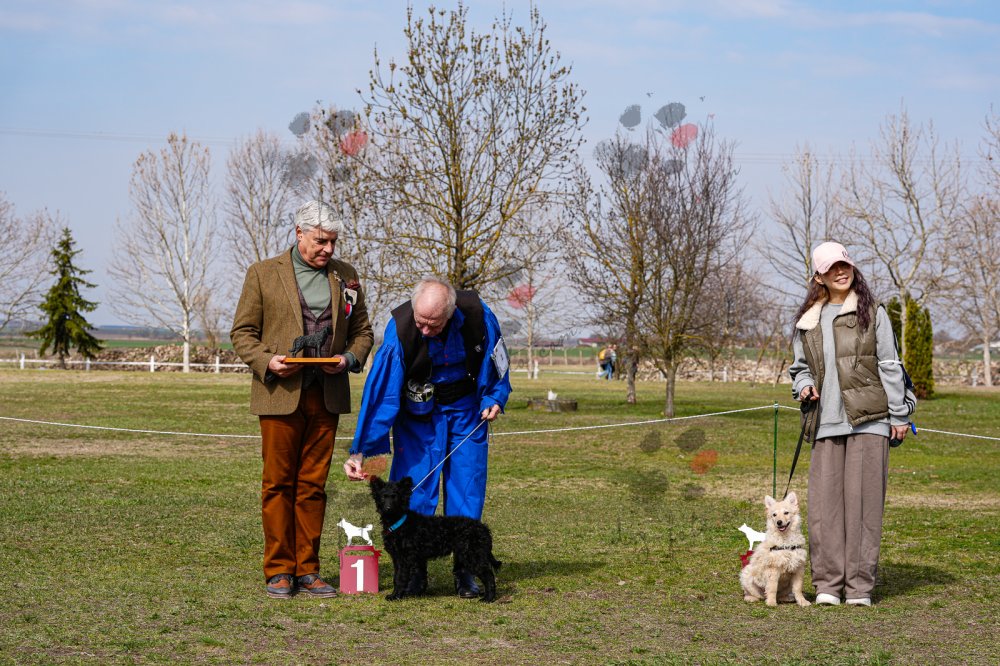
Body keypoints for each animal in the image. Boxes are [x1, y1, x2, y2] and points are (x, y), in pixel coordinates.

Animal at [369, 476, 502, 602]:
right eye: (383, 498)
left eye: (395, 497)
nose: (388, 508)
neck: (400, 522)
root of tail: (484, 528)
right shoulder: (397, 558)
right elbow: (396, 578)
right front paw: (395, 595)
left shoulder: (404, 559)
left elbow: (400, 578)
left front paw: (395, 597)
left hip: (473, 555)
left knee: (489, 576)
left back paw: (488, 599)